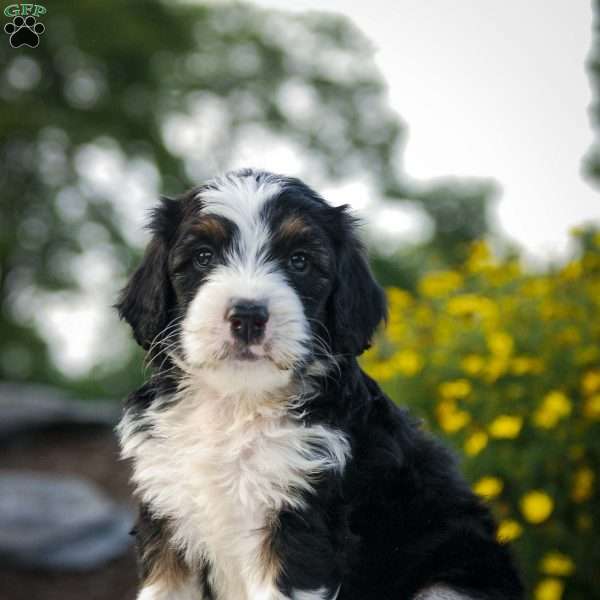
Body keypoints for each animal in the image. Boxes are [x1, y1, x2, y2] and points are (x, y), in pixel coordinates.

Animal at [116, 169, 520, 600]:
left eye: (299, 261)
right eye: (204, 256)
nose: (248, 316)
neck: (238, 403)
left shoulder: (301, 522)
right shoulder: (167, 514)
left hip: (448, 583)